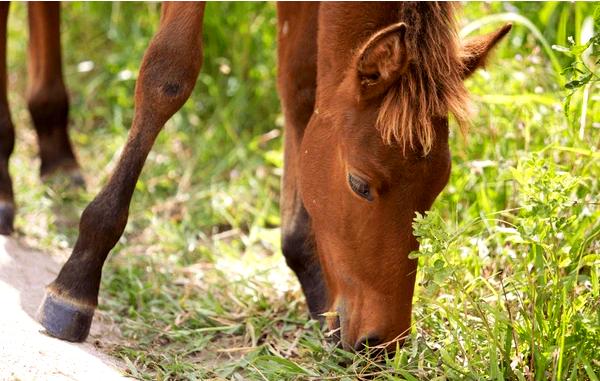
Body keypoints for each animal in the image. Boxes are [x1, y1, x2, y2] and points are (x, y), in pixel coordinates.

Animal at [3, 2, 510, 352]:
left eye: (437, 190)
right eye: (360, 184)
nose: (382, 344)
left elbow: (301, 84)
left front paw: (312, 276)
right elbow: (169, 74)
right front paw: (79, 278)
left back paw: (55, 148)